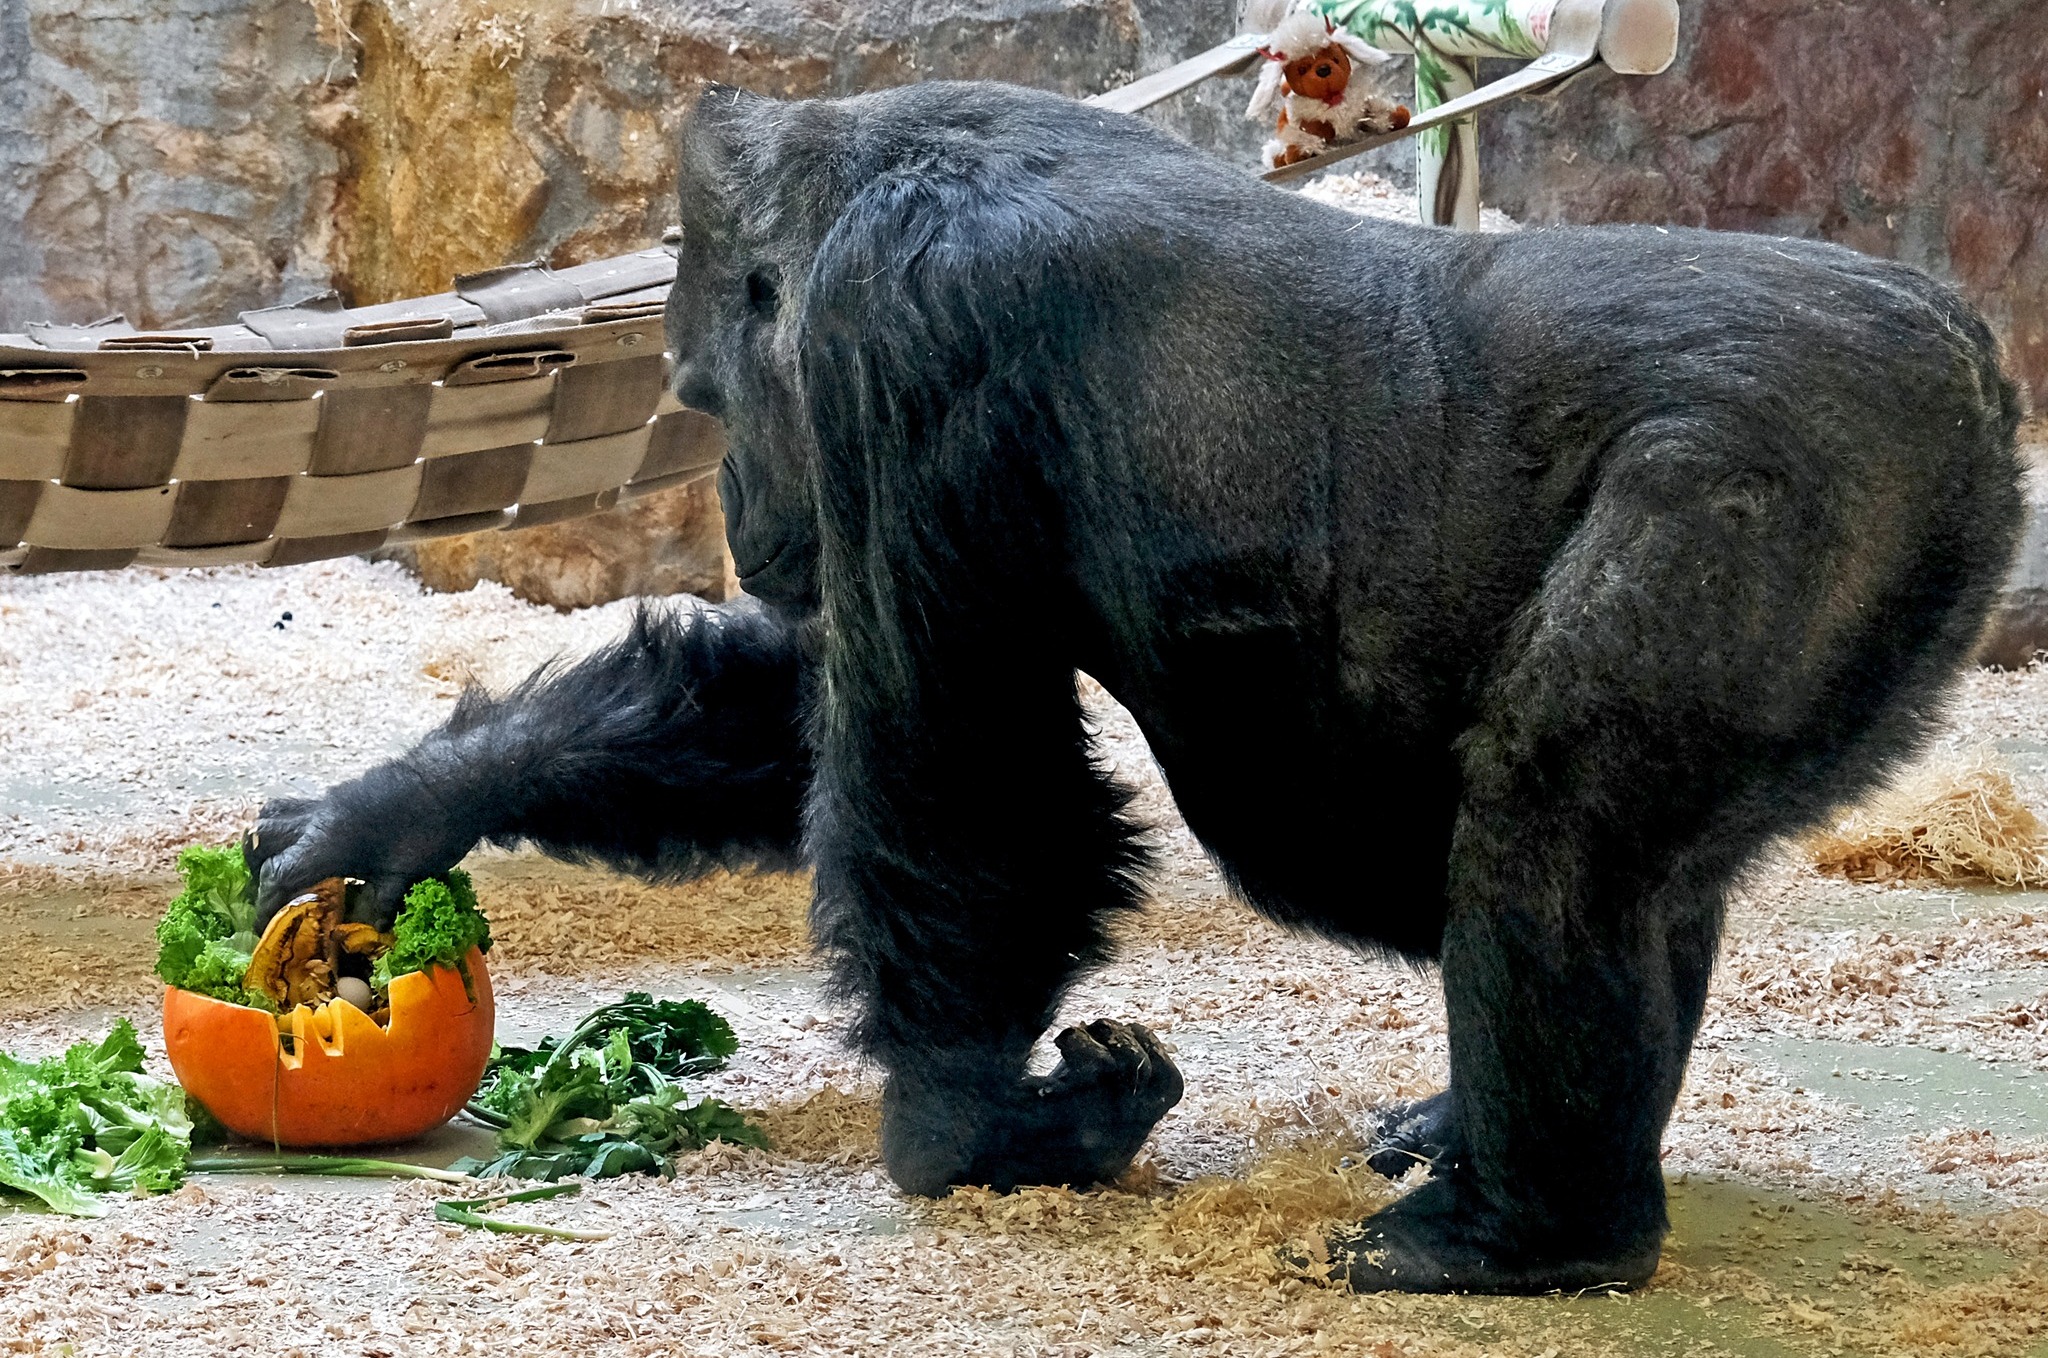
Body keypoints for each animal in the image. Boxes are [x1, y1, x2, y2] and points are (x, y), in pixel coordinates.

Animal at [247, 79, 2023, 1294]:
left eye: (704, 392)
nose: (748, 516)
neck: (857, 171)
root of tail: (1971, 353)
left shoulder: (908, 336)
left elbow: (957, 767)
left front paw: (973, 1129)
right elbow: (811, 706)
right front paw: (394, 814)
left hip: (1777, 467)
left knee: (1558, 827)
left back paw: (1526, 1234)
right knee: (1634, 866)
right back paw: (1502, 1143)